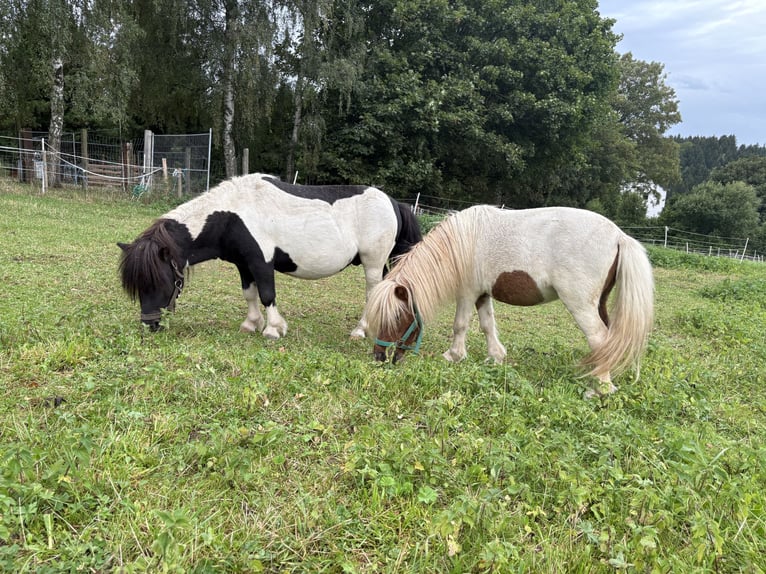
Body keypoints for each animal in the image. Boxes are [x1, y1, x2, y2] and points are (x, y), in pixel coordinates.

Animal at [118, 173, 422, 338]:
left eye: (159, 280)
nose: (150, 324)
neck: (231, 215)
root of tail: (393, 202)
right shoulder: (244, 265)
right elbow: (250, 294)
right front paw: (251, 324)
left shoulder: (261, 262)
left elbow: (267, 294)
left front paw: (273, 329)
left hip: (372, 264)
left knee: (374, 292)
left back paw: (361, 331)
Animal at [365, 205, 654, 398]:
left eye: (397, 317)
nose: (379, 357)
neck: (462, 244)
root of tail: (619, 236)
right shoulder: (482, 294)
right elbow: (487, 325)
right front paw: (495, 357)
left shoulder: (467, 292)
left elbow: (461, 324)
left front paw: (453, 355)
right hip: (599, 303)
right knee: (610, 341)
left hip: (581, 305)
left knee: (599, 338)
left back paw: (600, 389)